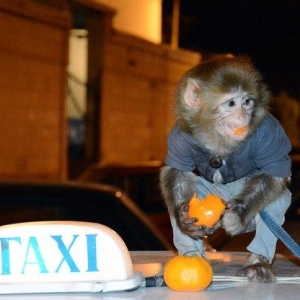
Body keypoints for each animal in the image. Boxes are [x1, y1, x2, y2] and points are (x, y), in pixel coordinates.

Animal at [161, 56, 292, 284]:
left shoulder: (270, 133)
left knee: (275, 201)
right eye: (231, 104)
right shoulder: (179, 137)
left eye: (247, 102)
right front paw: (183, 218)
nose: (243, 118)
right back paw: (191, 255)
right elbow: (176, 172)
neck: (218, 136)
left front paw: (239, 213)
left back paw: (258, 265)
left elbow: (275, 170)